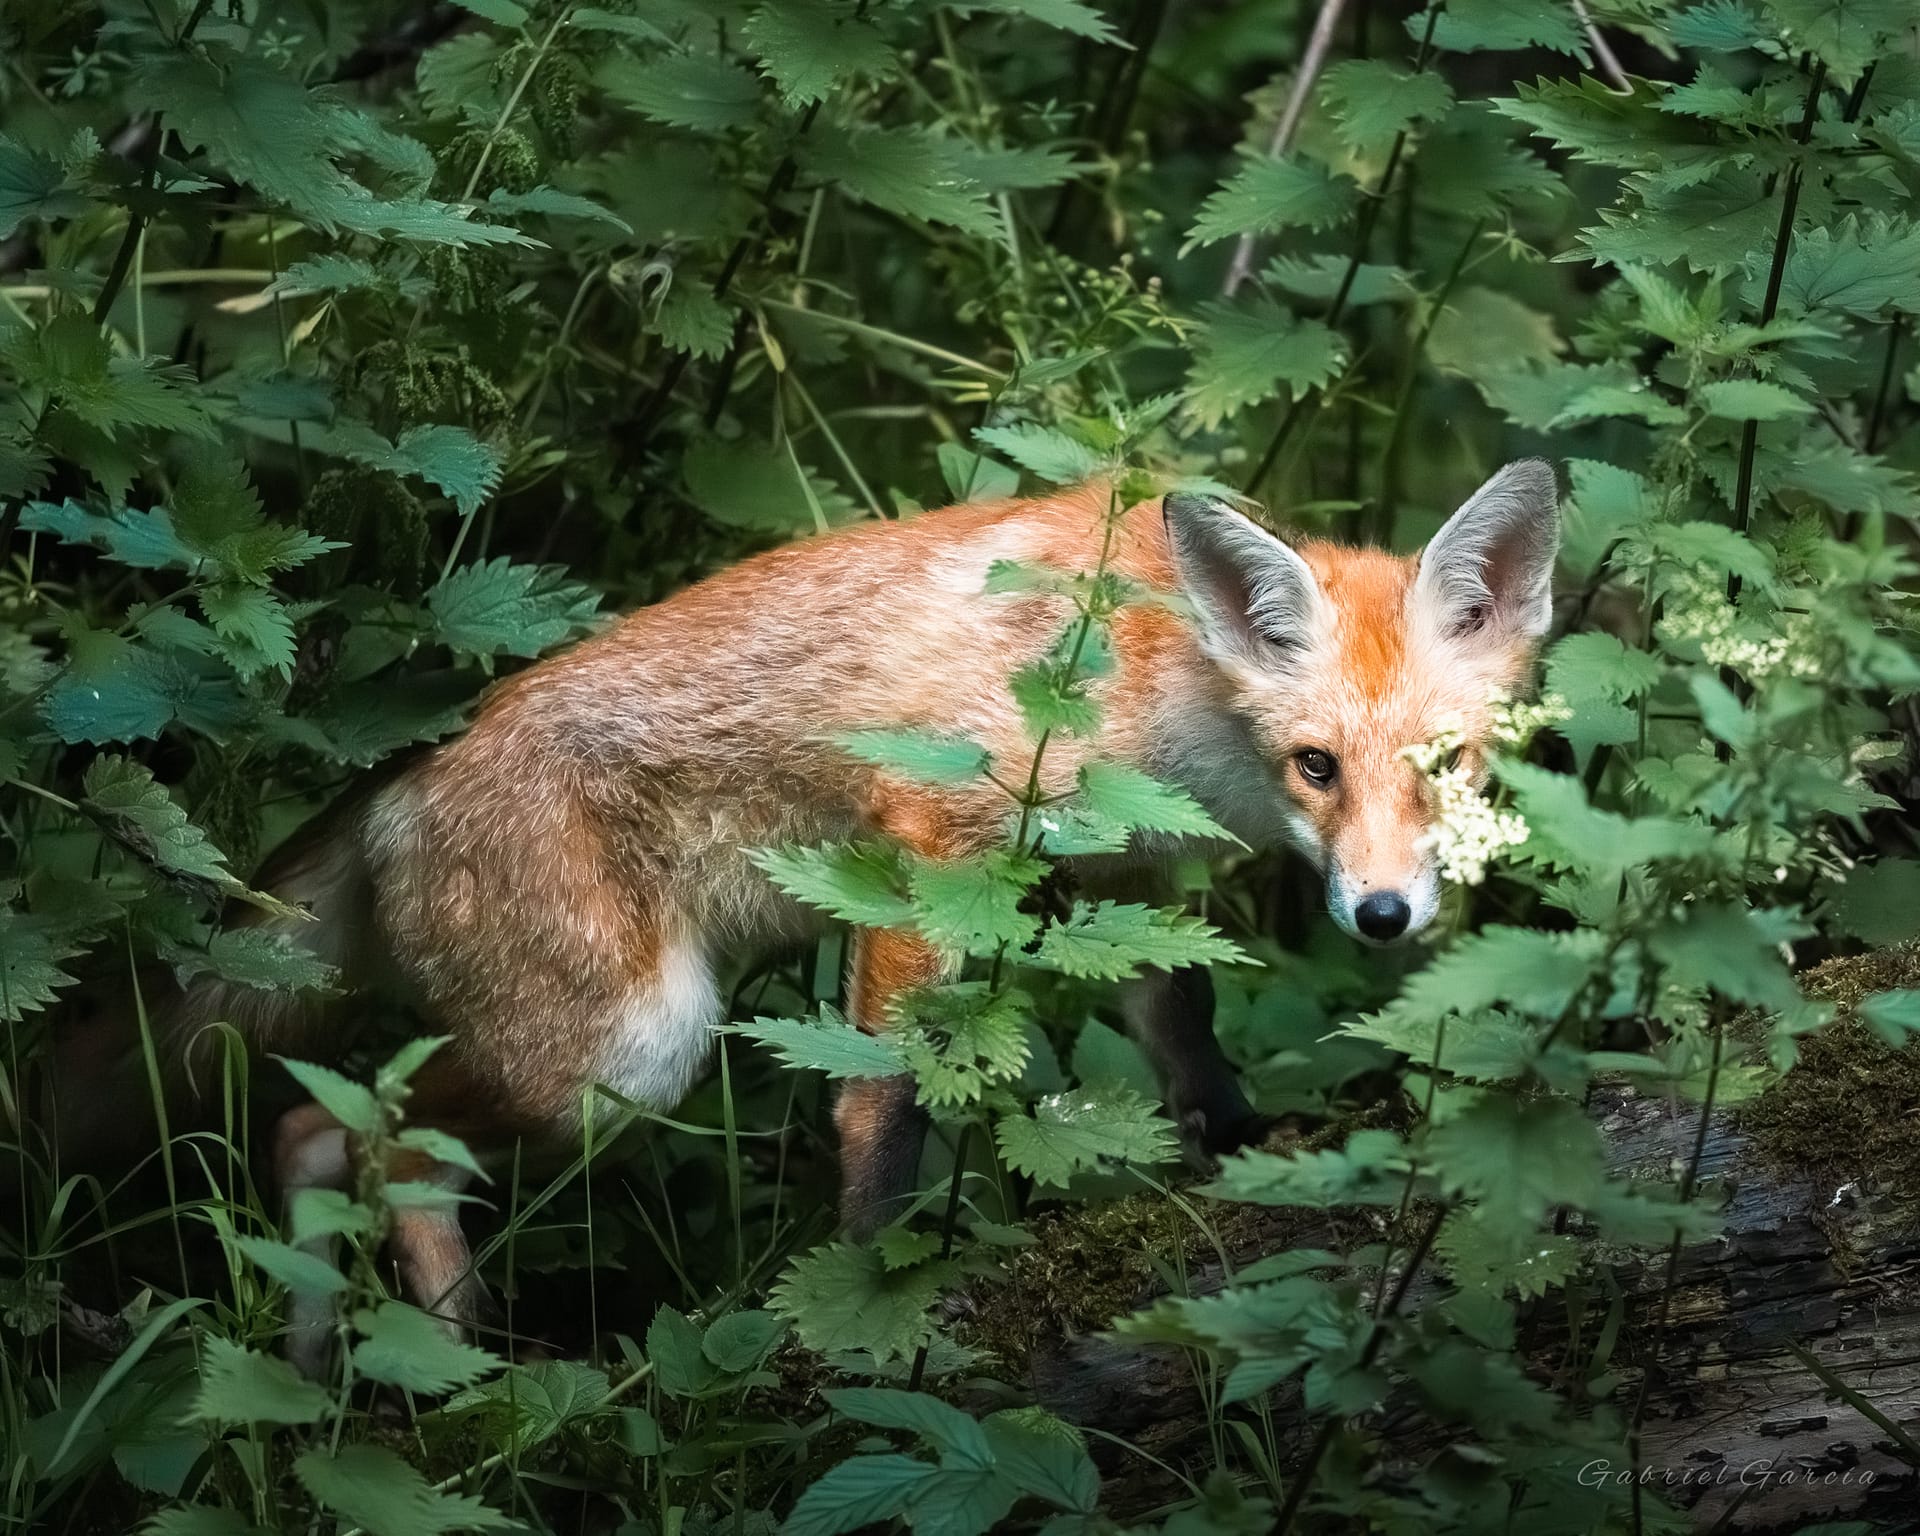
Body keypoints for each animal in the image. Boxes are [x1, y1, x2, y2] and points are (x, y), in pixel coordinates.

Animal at [60, 457, 1559, 1367]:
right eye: (1317, 766)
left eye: (1445, 766)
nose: (1382, 915)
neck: (1150, 667)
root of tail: (396, 780)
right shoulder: (934, 843)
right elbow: (884, 1102)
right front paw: (870, 1283)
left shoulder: (1122, 877)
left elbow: (1181, 1024)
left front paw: (1245, 1149)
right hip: (627, 1053)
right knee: (352, 1129)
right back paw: (460, 1364)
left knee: (317, 1137)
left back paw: (352, 1376)